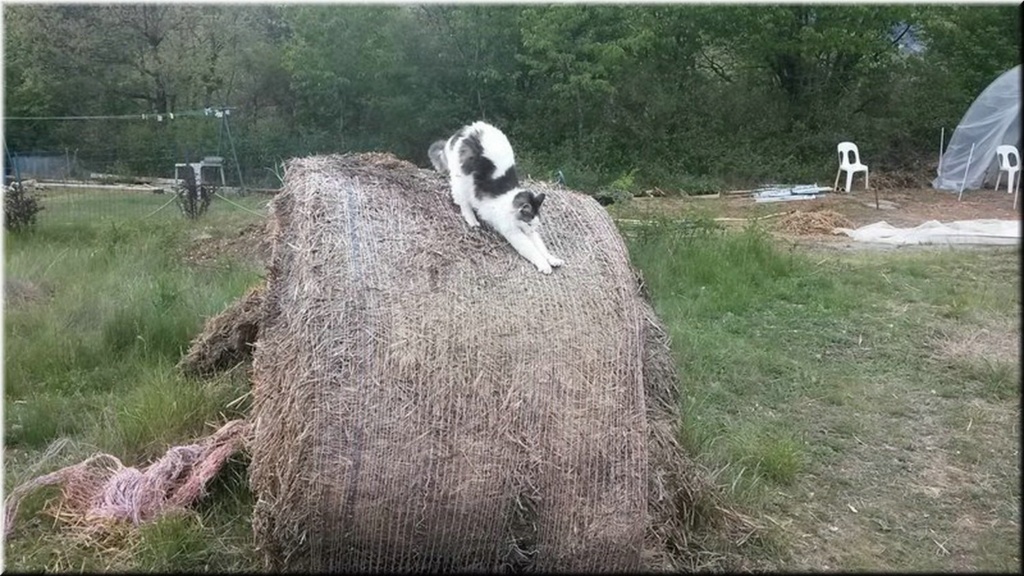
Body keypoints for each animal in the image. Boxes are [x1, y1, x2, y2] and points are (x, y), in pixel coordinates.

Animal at [428, 120, 565, 272]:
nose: (531, 229)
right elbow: (533, 251)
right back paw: (472, 220)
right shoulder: (514, 233)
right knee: (462, 201)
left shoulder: (528, 233)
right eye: (529, 222)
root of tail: (468, 129)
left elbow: (542, 248)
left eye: (534, 224)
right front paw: (544, 265)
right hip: (463, 178)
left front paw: (552, 259)